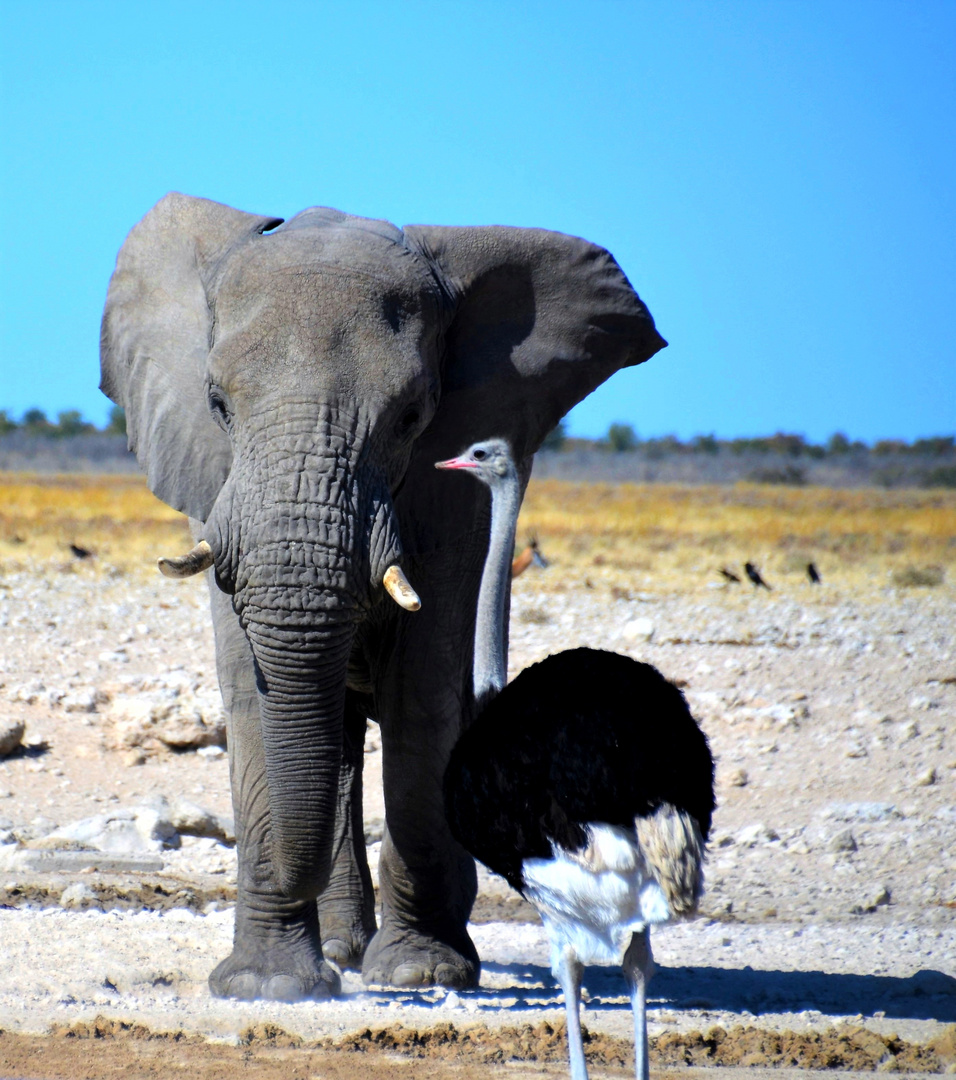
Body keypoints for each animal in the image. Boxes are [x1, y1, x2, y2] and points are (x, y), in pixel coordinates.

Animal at [97, 194, 665, 1002]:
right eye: (217, 403)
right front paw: (268, 987)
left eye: (411, 416)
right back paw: (341, 945)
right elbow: (248, 687)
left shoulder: (451, 496)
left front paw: (420, 970)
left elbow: (423, 690)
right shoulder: (214, 492)